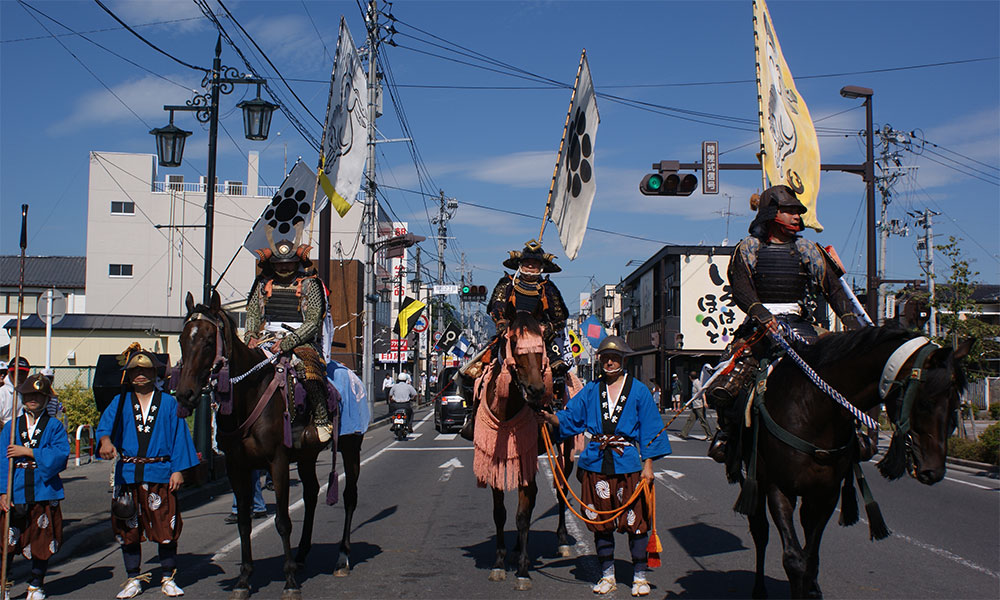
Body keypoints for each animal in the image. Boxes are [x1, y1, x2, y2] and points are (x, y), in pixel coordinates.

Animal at [744, 326, 968, 596]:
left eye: (956, 405)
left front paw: (812, 589)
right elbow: (794, 559)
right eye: (925, 403)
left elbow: (811, 557)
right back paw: (759, 589)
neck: (813, 410)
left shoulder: (827, 493)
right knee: (760, 531)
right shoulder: (778, 487)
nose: (933, 471)